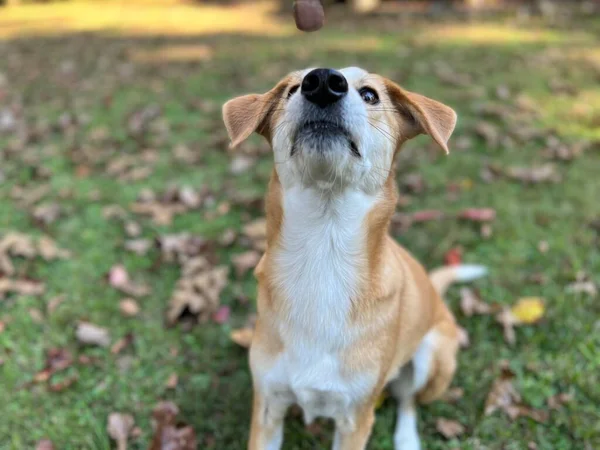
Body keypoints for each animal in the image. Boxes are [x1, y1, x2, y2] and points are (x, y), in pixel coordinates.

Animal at [223, 67, 486, 450]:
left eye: (370, 95)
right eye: (291, 90)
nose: (321, 82)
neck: (323, 253)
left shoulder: (355, 418)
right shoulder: (268, 407)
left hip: (433, 359)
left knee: (407, 399)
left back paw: (407, 438)